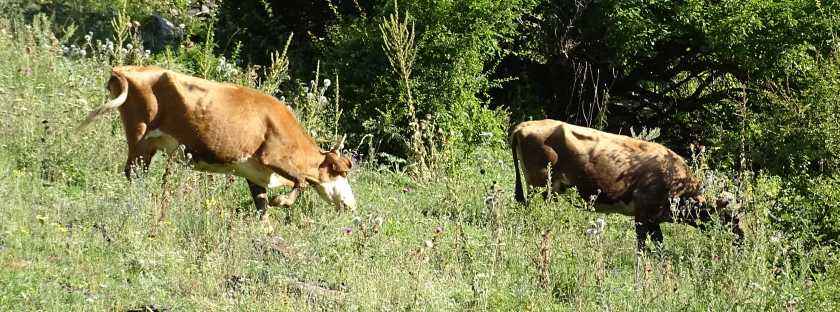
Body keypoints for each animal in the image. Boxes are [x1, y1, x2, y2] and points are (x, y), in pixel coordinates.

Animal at [77, 66, 356, 222]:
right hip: (139, 135)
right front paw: (281, 202)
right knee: (132, 173)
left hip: (148, 143)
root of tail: (124, 68)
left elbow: (262, 208)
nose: (352, 204)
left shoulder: (255, 173)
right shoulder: (272, 157)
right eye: (340, 172)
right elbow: (301, 182)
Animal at [512, 119, 740, 249]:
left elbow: (659, 248)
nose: (742, 240)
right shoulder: (642, 215)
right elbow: (642, 247)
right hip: (540, 186)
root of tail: (523, 125)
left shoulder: (653, 220)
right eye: (731, 218)